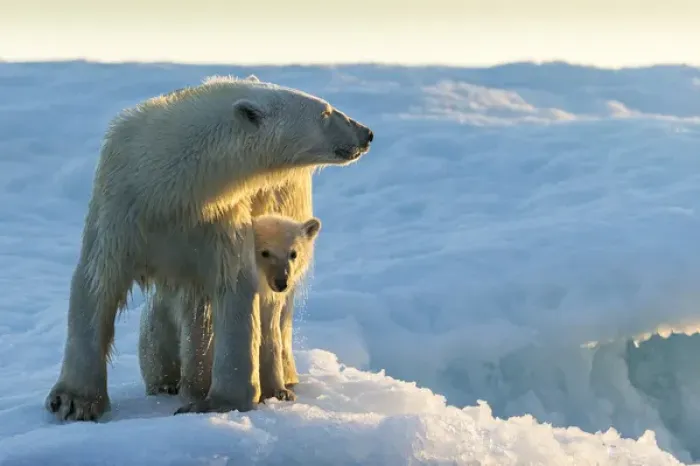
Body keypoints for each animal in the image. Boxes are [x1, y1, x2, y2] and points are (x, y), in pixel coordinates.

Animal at [138, 213, 322, 406]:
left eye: (293, 253)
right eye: (265, 252)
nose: (281, 282)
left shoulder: (269, 302)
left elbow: (269, 336)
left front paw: (281, 392)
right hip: (158, 323)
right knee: (157, 353)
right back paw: (166, 386)